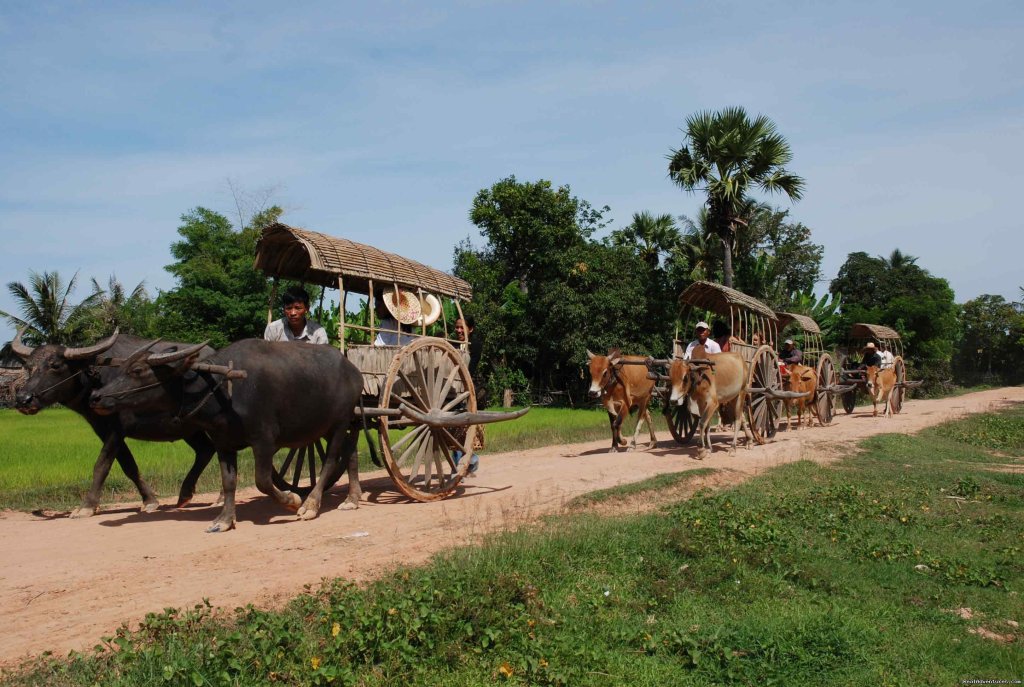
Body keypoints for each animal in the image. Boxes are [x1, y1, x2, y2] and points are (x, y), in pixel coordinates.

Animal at [12, 329, 222, 518]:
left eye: (55, 365)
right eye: (29, 366)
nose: (24, 399)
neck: (97, 380)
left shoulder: (117, 430)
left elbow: (102, 465)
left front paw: (86, 506)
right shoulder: (103, 430)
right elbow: (129, 466)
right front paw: (149, 501)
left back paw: (218, 497)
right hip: (189, 428)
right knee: (206, 450)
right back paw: (186, 494)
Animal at [89, 337, 364, 532]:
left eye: (137, 370)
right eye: (121, 368)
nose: (96, 396)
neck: (222, 388)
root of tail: (354, 372)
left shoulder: (264, 441)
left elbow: (262, 481)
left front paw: (292, 499)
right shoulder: (223, 443)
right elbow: (228, 481)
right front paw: (224, 520)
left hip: (340, 422)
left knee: (331, 461)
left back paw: (311, 504)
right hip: (329, 427)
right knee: (350, 454)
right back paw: (352, 498)